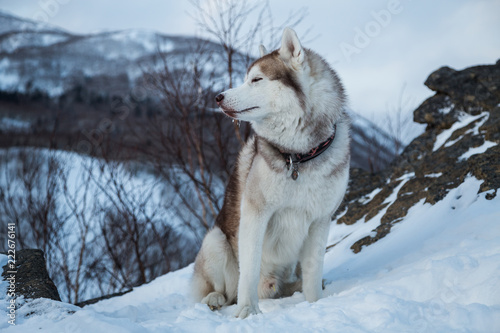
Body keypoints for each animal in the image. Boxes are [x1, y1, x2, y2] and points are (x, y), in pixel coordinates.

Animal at [189, 27, 350, 318]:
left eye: (256, 79)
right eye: (246, 78)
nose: (217, 97)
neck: (299, 157)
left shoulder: (321, 221)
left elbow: (312, 274)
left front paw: (314, 305)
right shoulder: (255, 215)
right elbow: (249, 272)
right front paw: (247, 311)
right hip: (216, 241)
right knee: (224, 292)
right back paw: (215, 299)